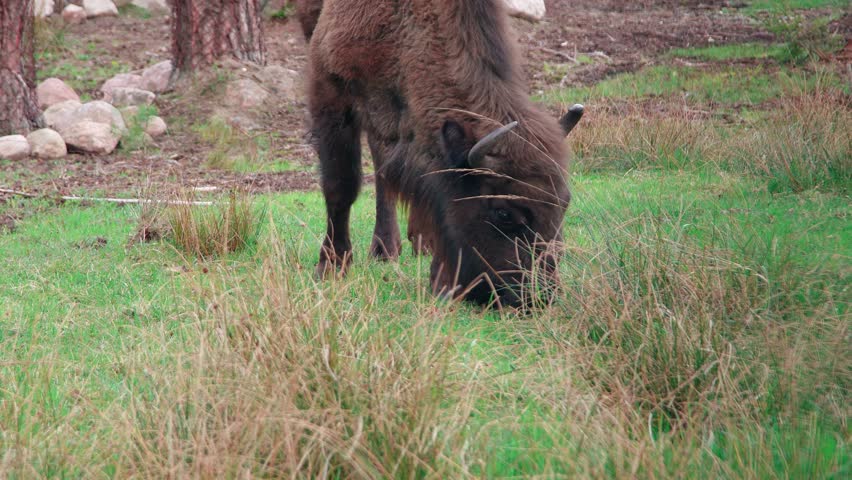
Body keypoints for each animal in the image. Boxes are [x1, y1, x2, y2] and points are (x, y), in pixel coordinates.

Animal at [297, 0, 584, 308]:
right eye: (504, 213)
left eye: (564, 203)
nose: (539, 296)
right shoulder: (329, 89)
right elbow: (341, 186)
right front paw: (331, 266)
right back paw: (385, 248)